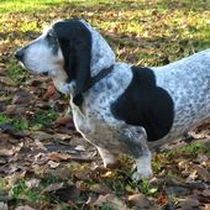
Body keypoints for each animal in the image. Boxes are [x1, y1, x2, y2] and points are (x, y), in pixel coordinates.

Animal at [15, 19, 210, 180]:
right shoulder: (99, 142)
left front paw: (142, 176)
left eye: (52, 36)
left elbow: (142, 156)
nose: (18, 54)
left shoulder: (135, 134)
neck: (99, 78)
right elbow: (108, 157)